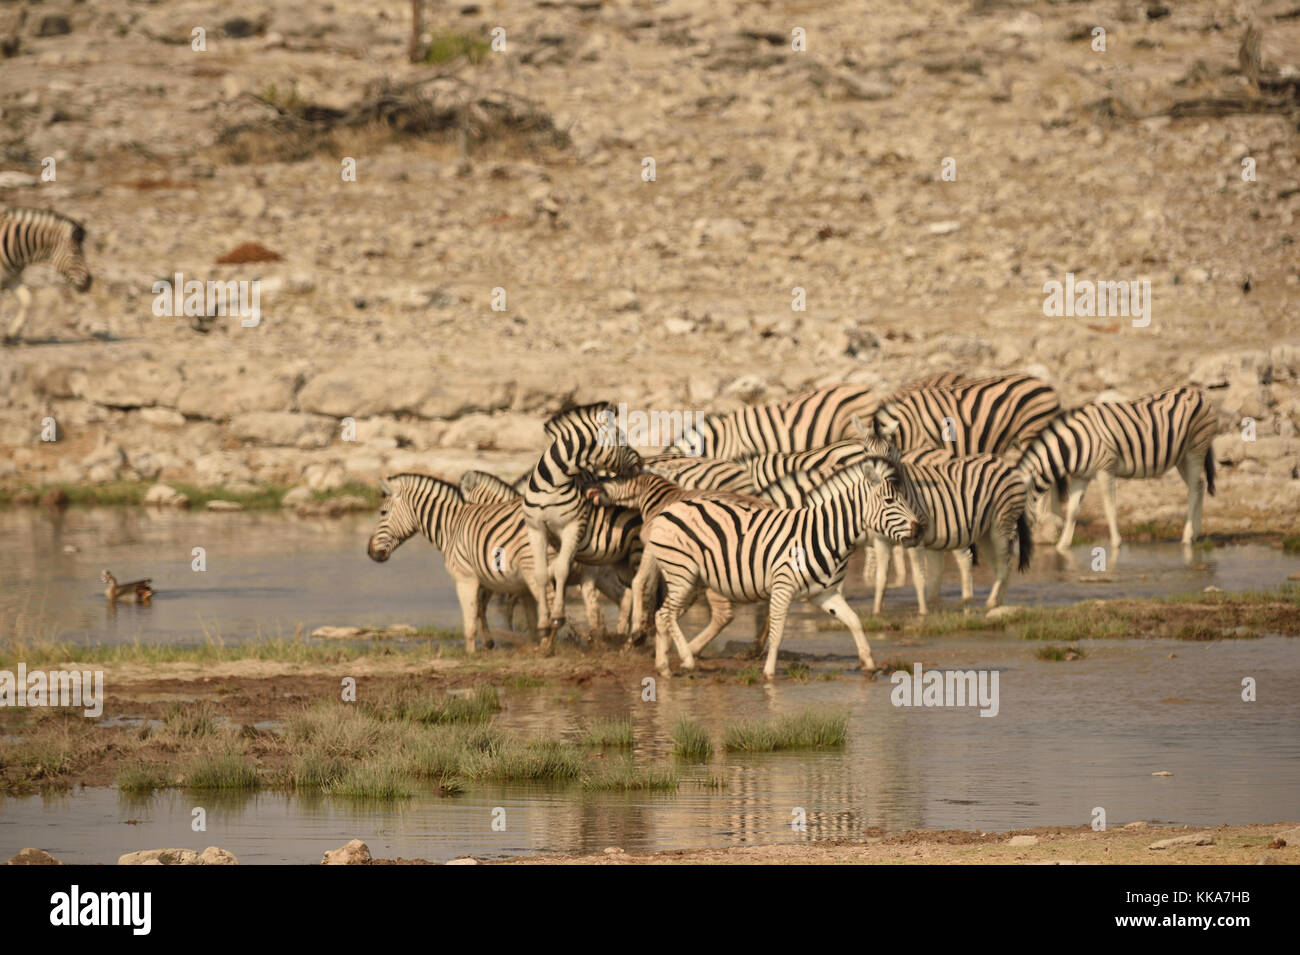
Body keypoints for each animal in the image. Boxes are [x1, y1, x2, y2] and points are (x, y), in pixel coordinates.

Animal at [0, 207, 92, 345]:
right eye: (75, 253)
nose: (89, 282)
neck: (12, 244)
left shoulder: (11, 278)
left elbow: (27, 300)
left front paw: (10, 335)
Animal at [517, 400, 639, 647]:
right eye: (620, 437)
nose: (640, 461)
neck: (552, 485)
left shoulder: (573, 527)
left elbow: (561, 570)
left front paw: (557, 617)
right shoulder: (536, 529)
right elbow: (540, 574)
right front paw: (543, 624)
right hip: (616, 562)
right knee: (629, 592)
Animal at [639, 457, 925, 675]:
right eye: (889, 502)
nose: (920, 529)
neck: (824, 534)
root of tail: (670, 508)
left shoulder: (824, 593)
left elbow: (854, 621)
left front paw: (868, 663)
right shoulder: (782, 586)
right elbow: (777, 632)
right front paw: (768, 674)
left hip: (693, 578)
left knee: (664, 616)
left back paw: (663, 666)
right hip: (682, 573)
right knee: (664, 615)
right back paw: (685, 661)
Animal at [1013, 387, 1216, 556]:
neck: (1074, 444)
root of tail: (1197, 391)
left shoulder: (1106, 469)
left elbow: (1109, 508)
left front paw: (1116, 543)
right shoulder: (1080, 476)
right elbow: (1072, 511)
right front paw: (1062, 545)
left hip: (1195, 449)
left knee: (1193, 489)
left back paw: (1187, 537)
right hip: (1181, 457)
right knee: (1199, 485)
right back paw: (1196, 533)